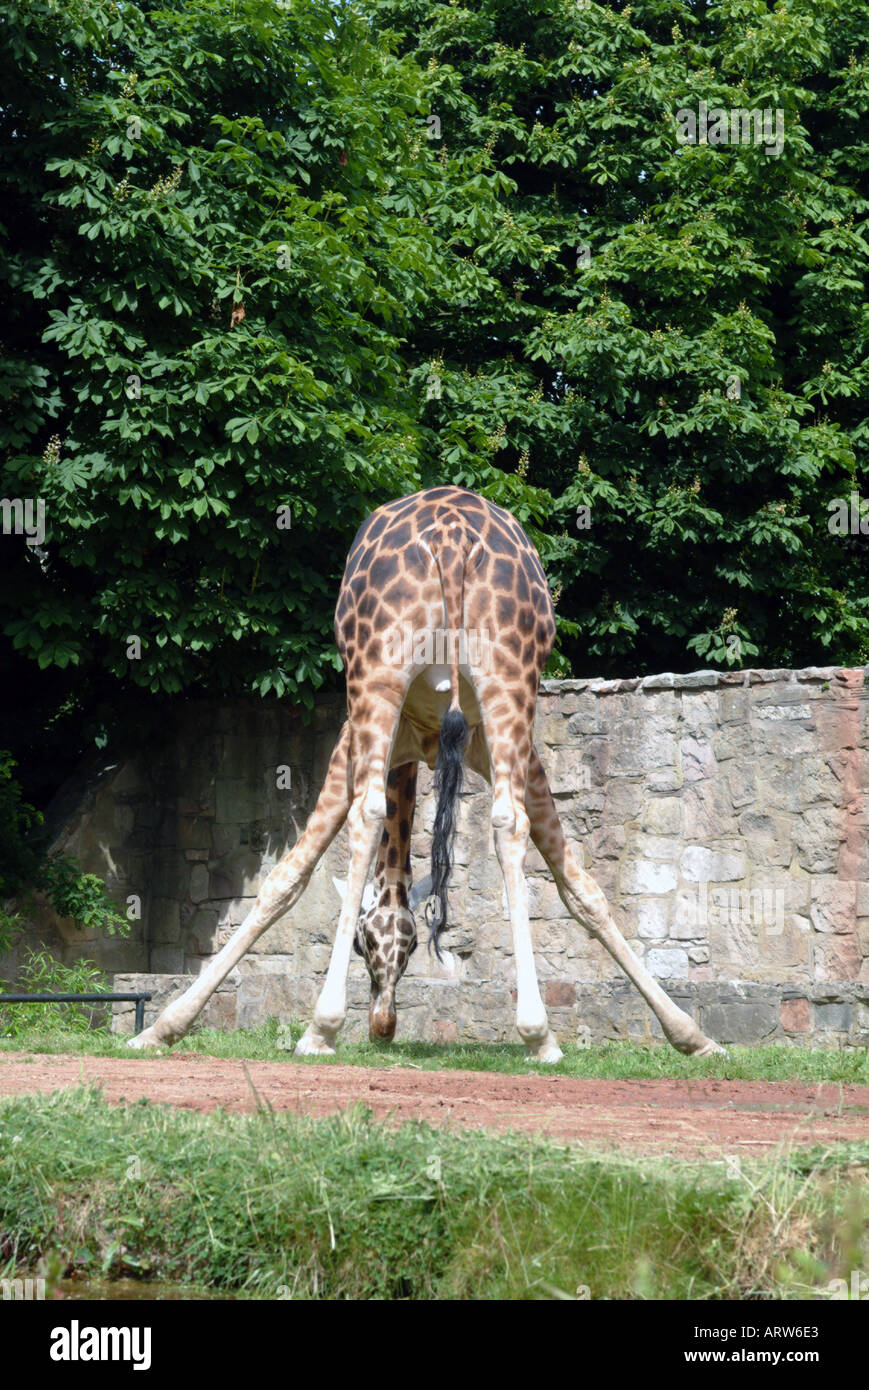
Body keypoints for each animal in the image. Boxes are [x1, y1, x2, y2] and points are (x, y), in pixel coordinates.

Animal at [128, 483, 723, 1056]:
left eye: (401, 945)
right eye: (374, 943)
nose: (383, 1027)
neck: (423, 741)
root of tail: (452, 535)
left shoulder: (352, 741)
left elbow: (286, 877)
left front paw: (158, 1029)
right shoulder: (503, 750)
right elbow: (580, 886)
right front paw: (694, 1038)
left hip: (377, 672)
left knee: (368, 814)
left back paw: (321, 1030)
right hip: (510, 682)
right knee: (509, 823)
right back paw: (540, 1036)